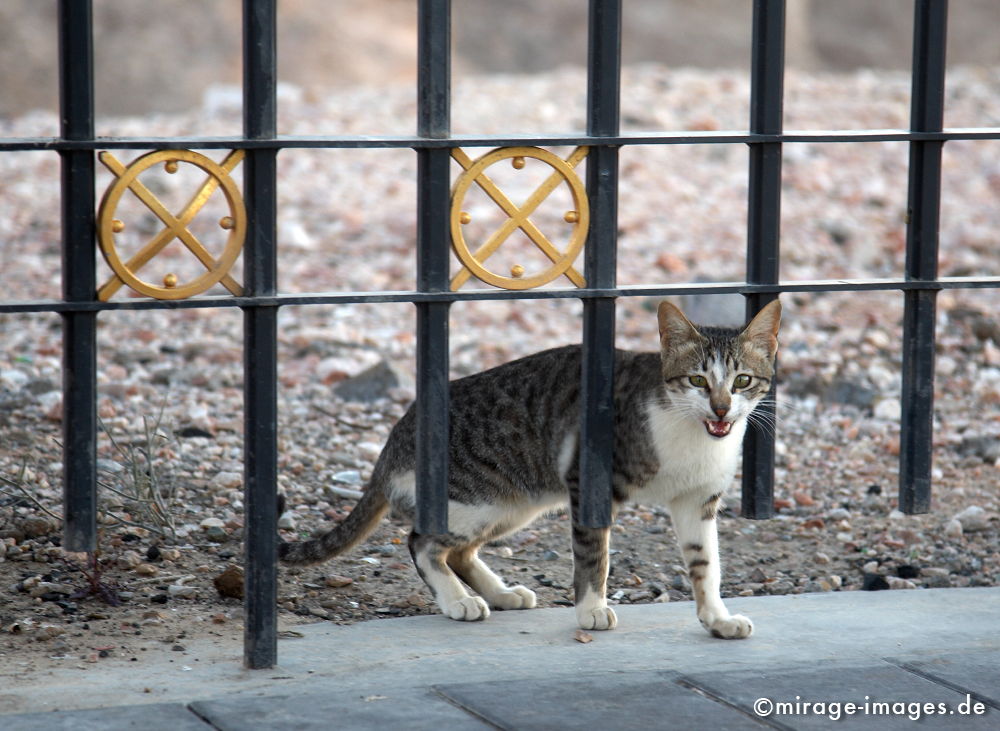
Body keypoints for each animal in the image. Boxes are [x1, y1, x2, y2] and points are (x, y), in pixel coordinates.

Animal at [282, 298, 780, 640]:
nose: (721, 408)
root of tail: (394, 441)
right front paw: (590, 609)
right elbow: (594, 554)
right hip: (474, 498)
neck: (693, 438)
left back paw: (500, 593)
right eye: (697, 380)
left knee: (459, 552)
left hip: (513, 504)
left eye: (742, 381)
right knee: (422, 541)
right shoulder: (588, 479)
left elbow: (705, 564)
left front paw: (716, 619)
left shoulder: (698, 501)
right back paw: (458, 600)